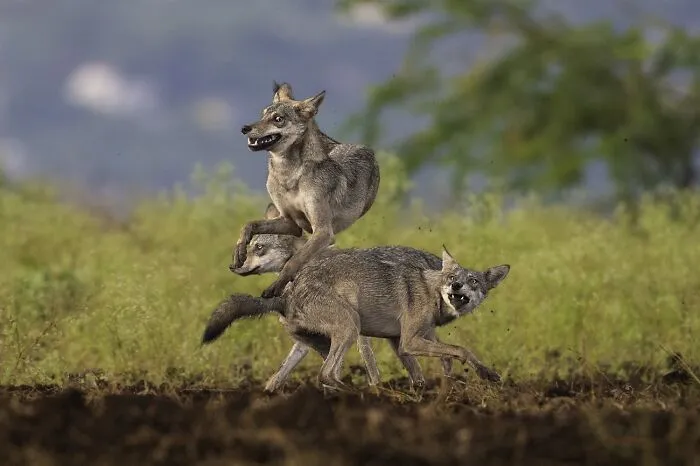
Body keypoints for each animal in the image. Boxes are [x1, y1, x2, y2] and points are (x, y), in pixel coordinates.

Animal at [206, 241, 510, 391]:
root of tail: (287, 296)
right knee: (326, 374)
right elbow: (461, 349)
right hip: (350, 327)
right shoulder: (409, 341)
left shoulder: (399, 343)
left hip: (324, 341)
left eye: (473, 282)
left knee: (305, 375)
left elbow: (423, 372)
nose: (456, 287)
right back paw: (366, 394)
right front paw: (486, 374)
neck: (431, 289)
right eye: (452, 278)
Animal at [233, 81, 380, 299]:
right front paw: (239, 251)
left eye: (278, 119)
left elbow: (295, 260)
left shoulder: (323, 231)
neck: (289, 177)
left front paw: (276, 286)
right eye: (263, 115)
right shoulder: (289, 222)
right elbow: (249, 224)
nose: (245, 128)